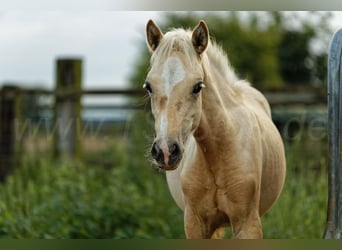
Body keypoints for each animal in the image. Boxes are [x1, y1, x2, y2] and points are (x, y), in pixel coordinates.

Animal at [144, 19, 286, 238]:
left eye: (197, 86)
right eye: (148, 86)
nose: (165, 151)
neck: (217, 153)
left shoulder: (247, 224)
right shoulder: (195, 225)